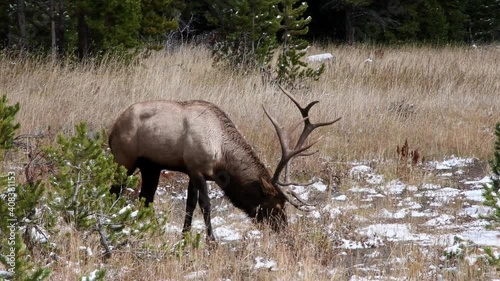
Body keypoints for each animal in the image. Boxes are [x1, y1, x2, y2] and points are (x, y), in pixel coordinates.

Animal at [107, 85, 338, 238]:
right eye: (275, 205)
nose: (284, 231)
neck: (222, 157)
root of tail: (112, 129)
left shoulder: (191, 170)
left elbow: (190, 204)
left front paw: (185, 236)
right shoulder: (197, 169)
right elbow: (205, 205)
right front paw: (212, 242)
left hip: (151, 166)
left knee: (145, 197)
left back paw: (154, 230)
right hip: (123, 160)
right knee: (115, 192)